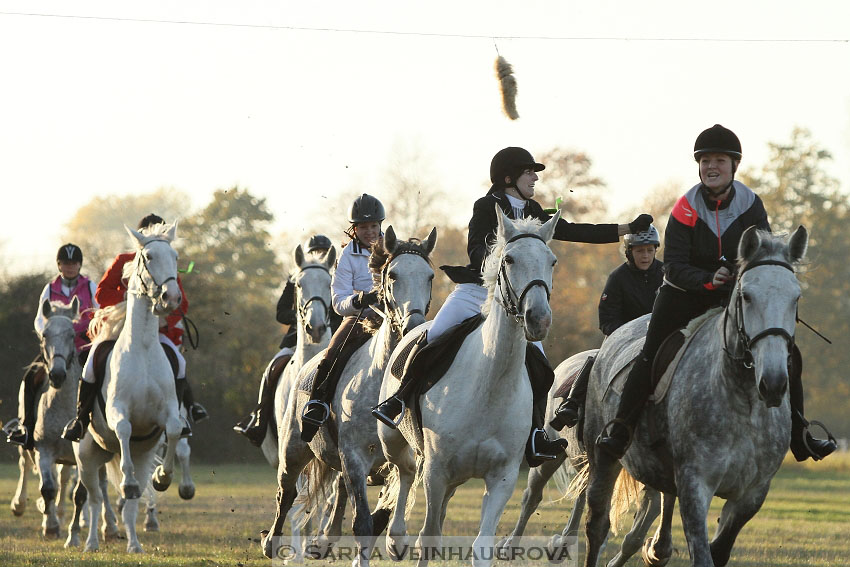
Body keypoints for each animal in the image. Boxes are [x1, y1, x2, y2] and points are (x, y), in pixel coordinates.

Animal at [71, 223, 184, 556]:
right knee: (95, 499)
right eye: (148, 256)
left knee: (130, 504)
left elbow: (174, 430)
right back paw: (91, 542)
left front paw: (164, 477)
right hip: (86, 457)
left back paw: (134, 544)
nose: (172, 297)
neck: (143, 348)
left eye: (175, 257)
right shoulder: (117, 410)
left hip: (141, 456)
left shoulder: (168, 412)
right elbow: (123, 427)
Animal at [260, 224, 438, 564]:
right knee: (286, 493)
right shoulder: (354, 456)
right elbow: (363, 523)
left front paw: (397, 539)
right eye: (392, 276)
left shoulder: (401, 456)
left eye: (430, 276)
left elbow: (392, 497)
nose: (414, 325)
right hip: (293, 450)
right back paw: (272, 543)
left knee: (337, 491)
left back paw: (324, 540)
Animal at [380, 209, 560, 567]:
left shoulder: (502, 477)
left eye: (552, 261)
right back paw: (395, 538)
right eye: (509, 259)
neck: (489, 386)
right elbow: (429, 536)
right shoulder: (436, 470)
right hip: (393, 440)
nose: (538, 319)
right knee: (404, 470)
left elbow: (482, 545)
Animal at [496, 350, 668, 567]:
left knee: (581, 498)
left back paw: (562, 544)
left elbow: (634, 538)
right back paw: (511, 546)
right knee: (531, 498)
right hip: (551, 457)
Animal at [580, 226, 804, 567]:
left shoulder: (751, 494)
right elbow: (702, 552)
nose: (775, 382)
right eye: (746, 296)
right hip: (602, 455)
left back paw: (657, 549)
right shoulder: (695, 484)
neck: (743, 401)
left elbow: (719, 550)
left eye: (796, 297)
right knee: (597, 525)